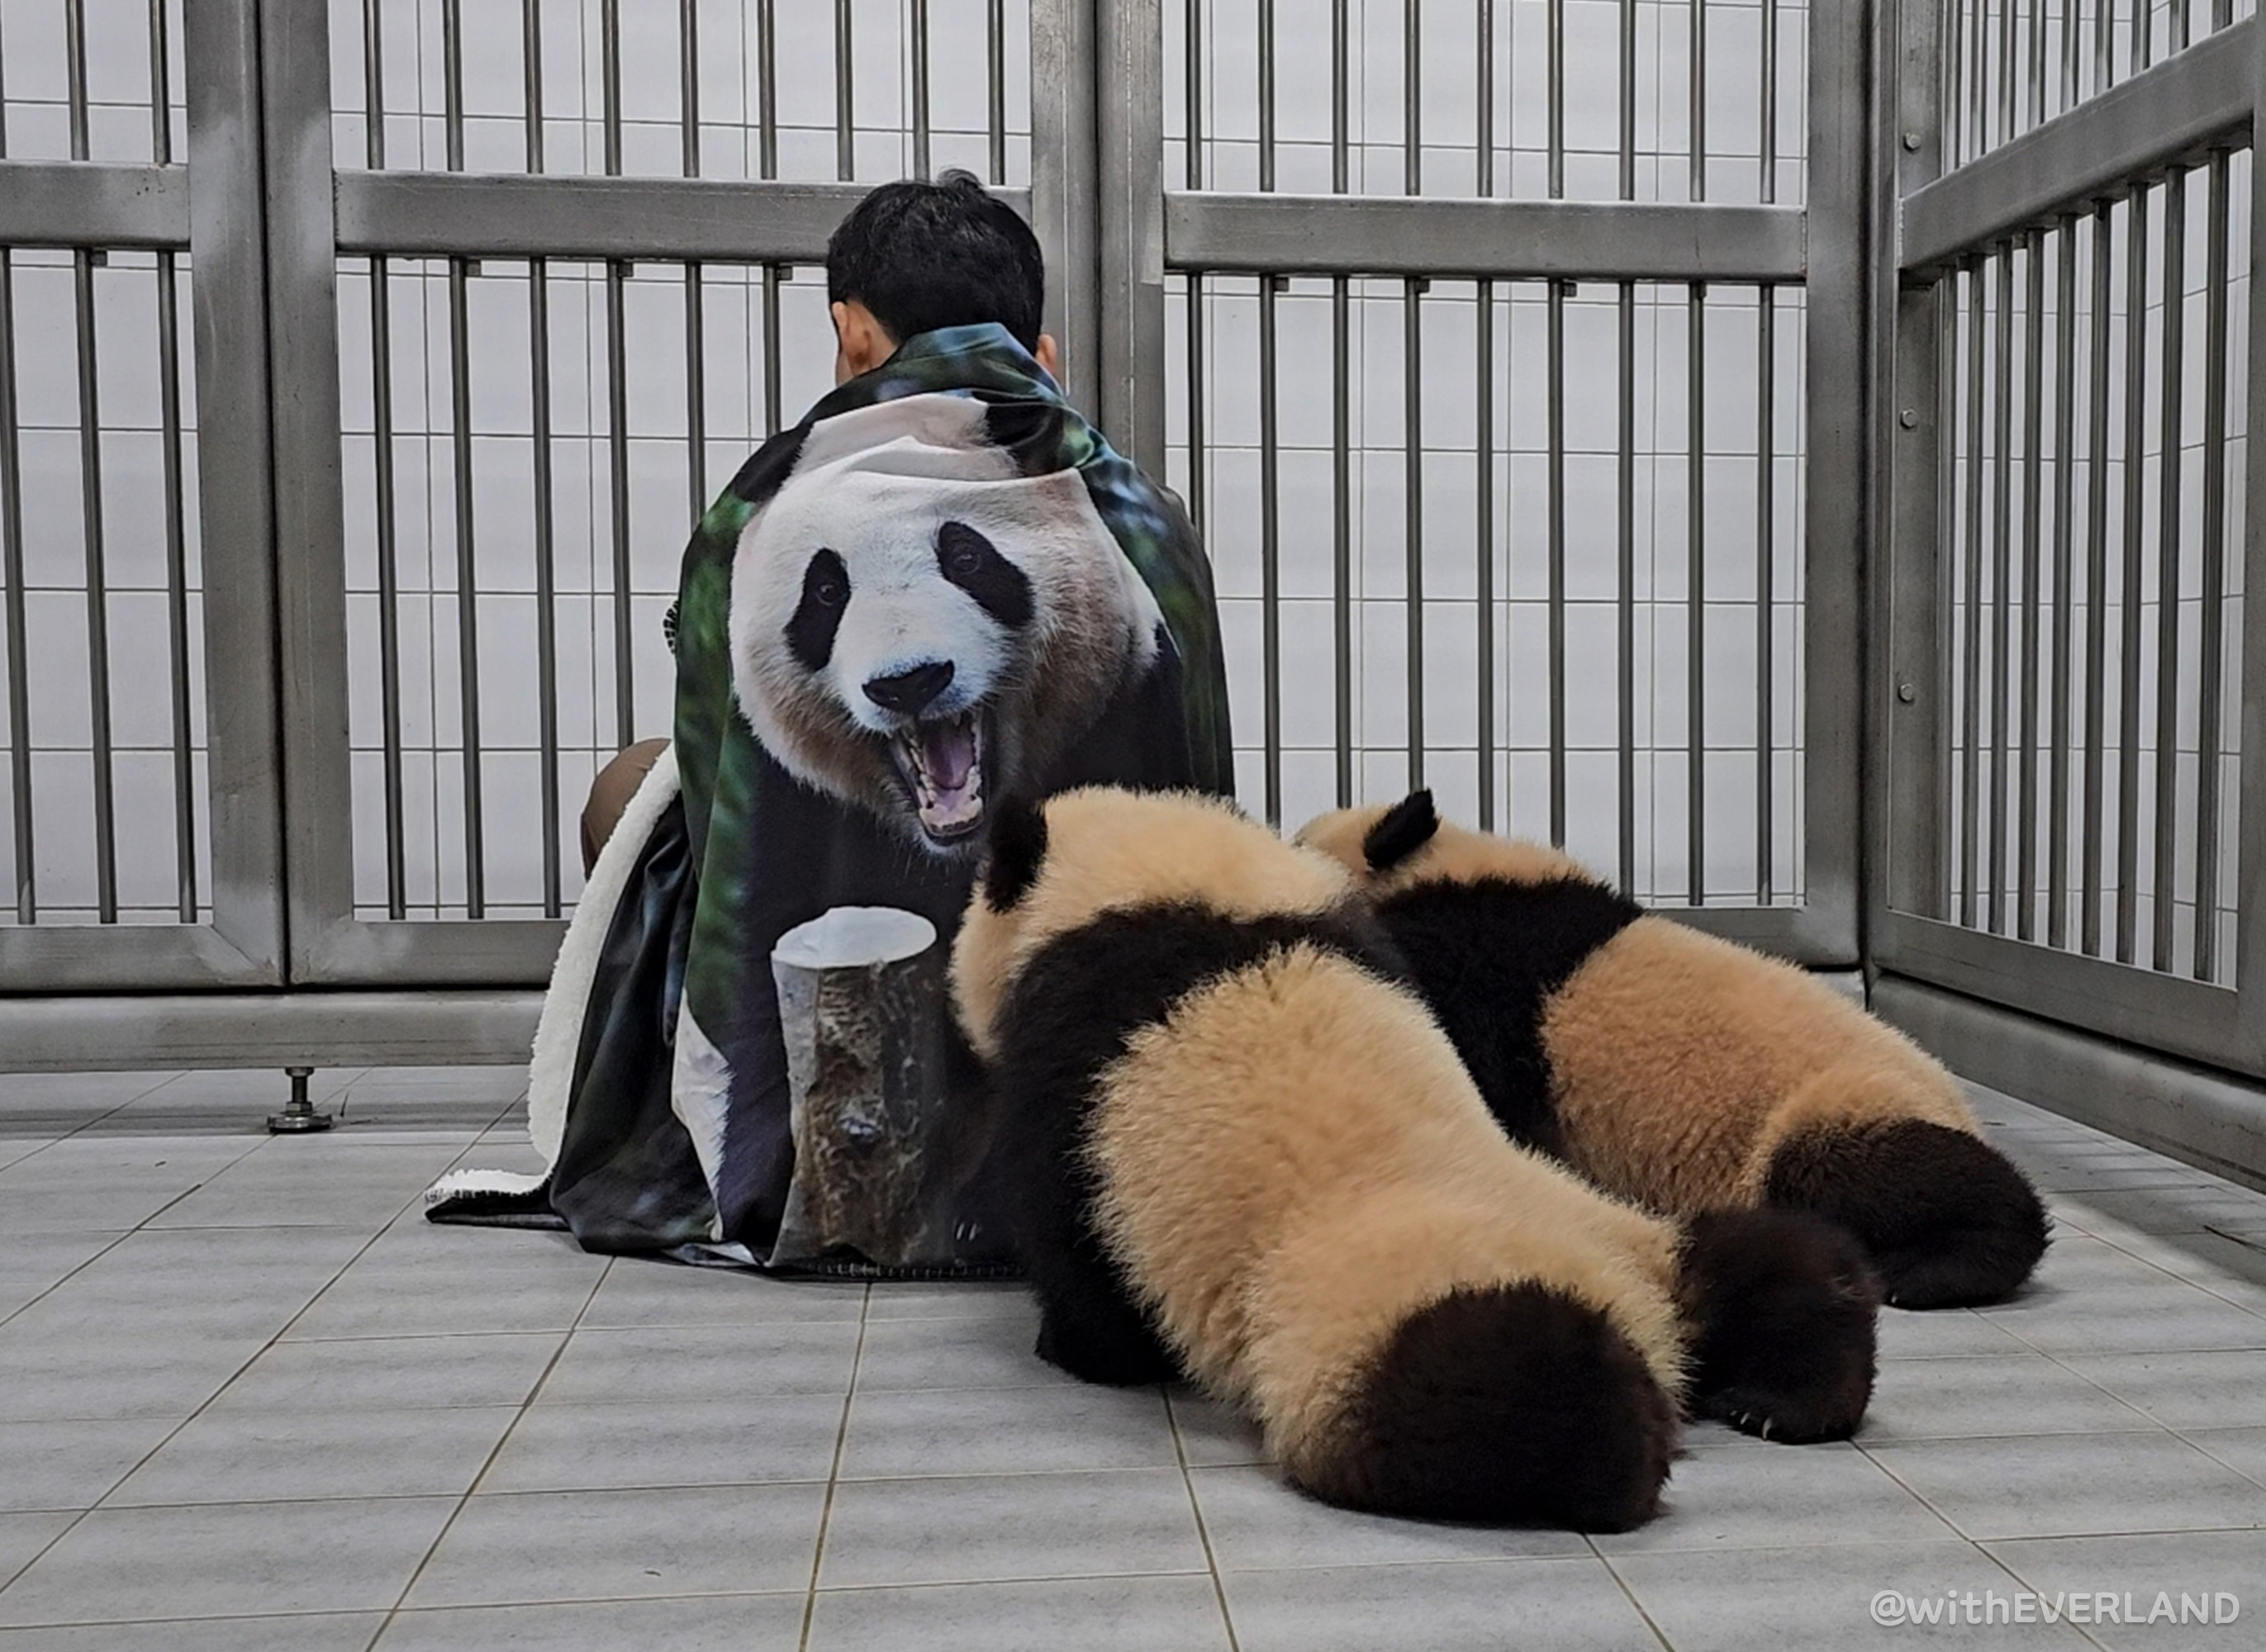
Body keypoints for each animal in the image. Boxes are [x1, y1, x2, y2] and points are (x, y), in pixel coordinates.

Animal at [949, 786, 1883, 1530]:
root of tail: (1650, 1321)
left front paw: (1074, 1348)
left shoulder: (1072, 1057)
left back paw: (1623, 1442)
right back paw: (1787, 1394)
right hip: (1641, 1233)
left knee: (1488, 1380)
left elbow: (1072, 1231)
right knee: (1776, 1262)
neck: (1164, 885)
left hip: (1359, 1306)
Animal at [1296, 790, 2051, 1310]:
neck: (1433, 865)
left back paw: (1934, 1268)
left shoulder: (1487, 962)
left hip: (1833, 1102)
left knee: (1877, 1170)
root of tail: (1958, 1103)